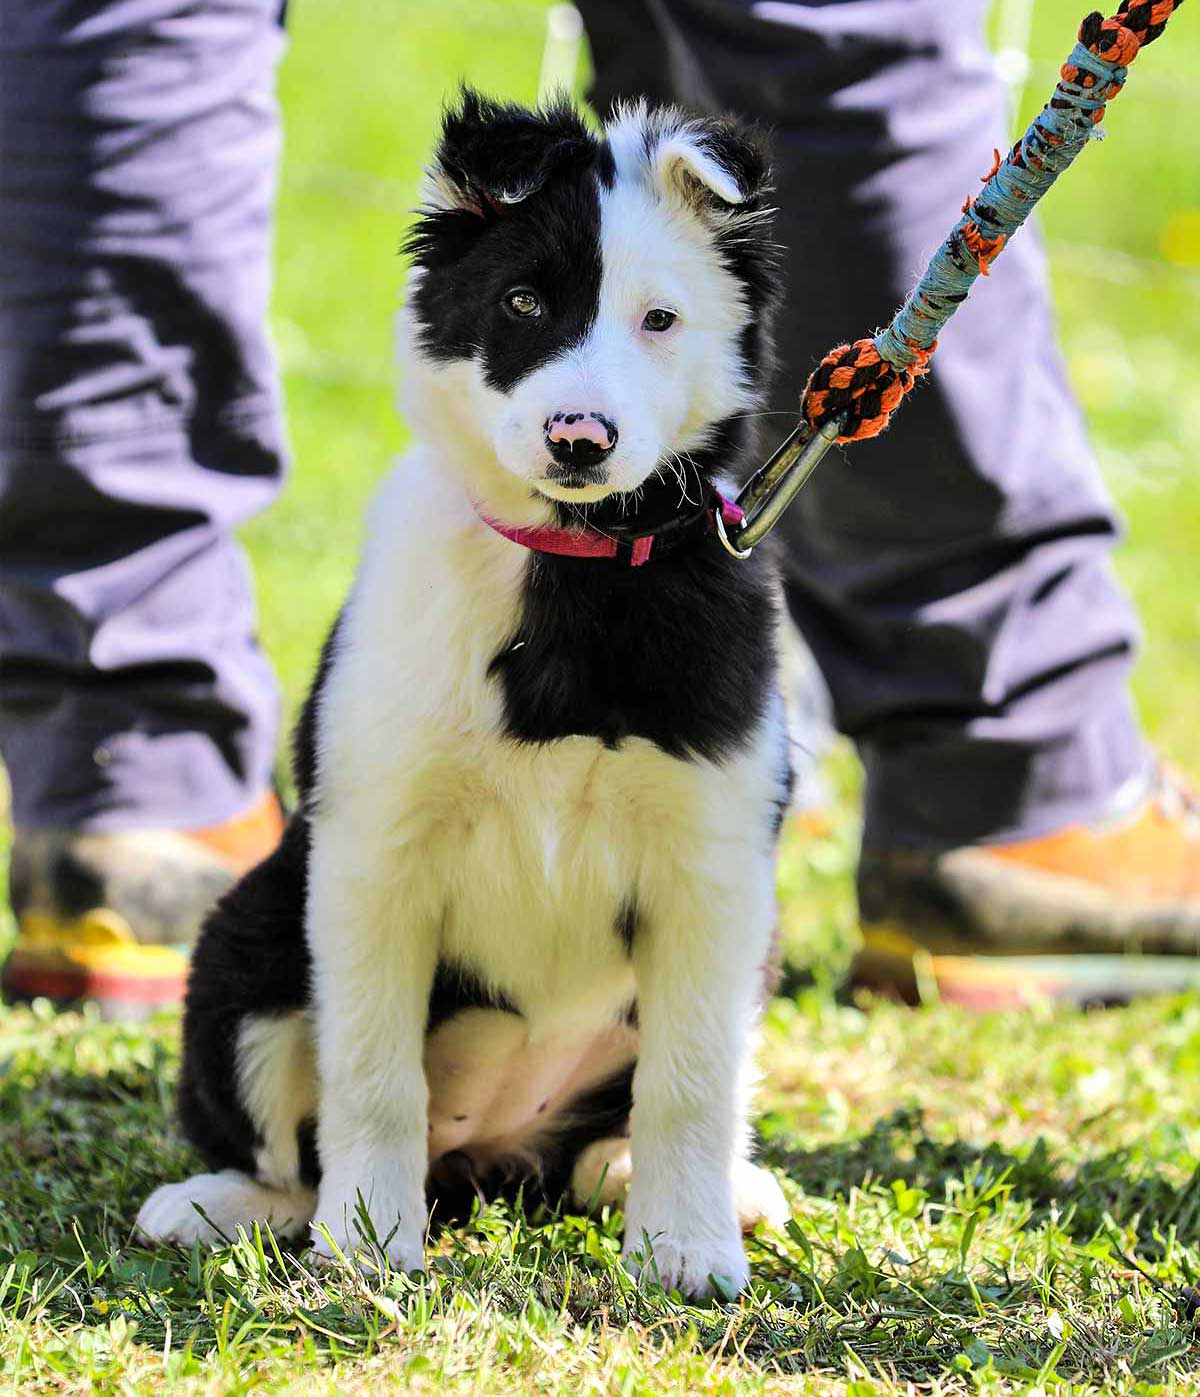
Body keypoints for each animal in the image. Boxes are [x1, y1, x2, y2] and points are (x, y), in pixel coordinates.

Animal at [138, 92, 787, 1302]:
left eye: (660, 320)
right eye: (523, 302)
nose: (580, 439)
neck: (564, 571)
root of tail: (488, 1151)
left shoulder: (714, 866)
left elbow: (692, 1077)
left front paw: (684, 1250)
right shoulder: (370, 850)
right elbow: (371, 1070)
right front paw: (368, 1243)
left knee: (623, 1120)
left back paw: (677, 1180)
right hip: (250, 932)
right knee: (285, 1136)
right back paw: (229, 1204)